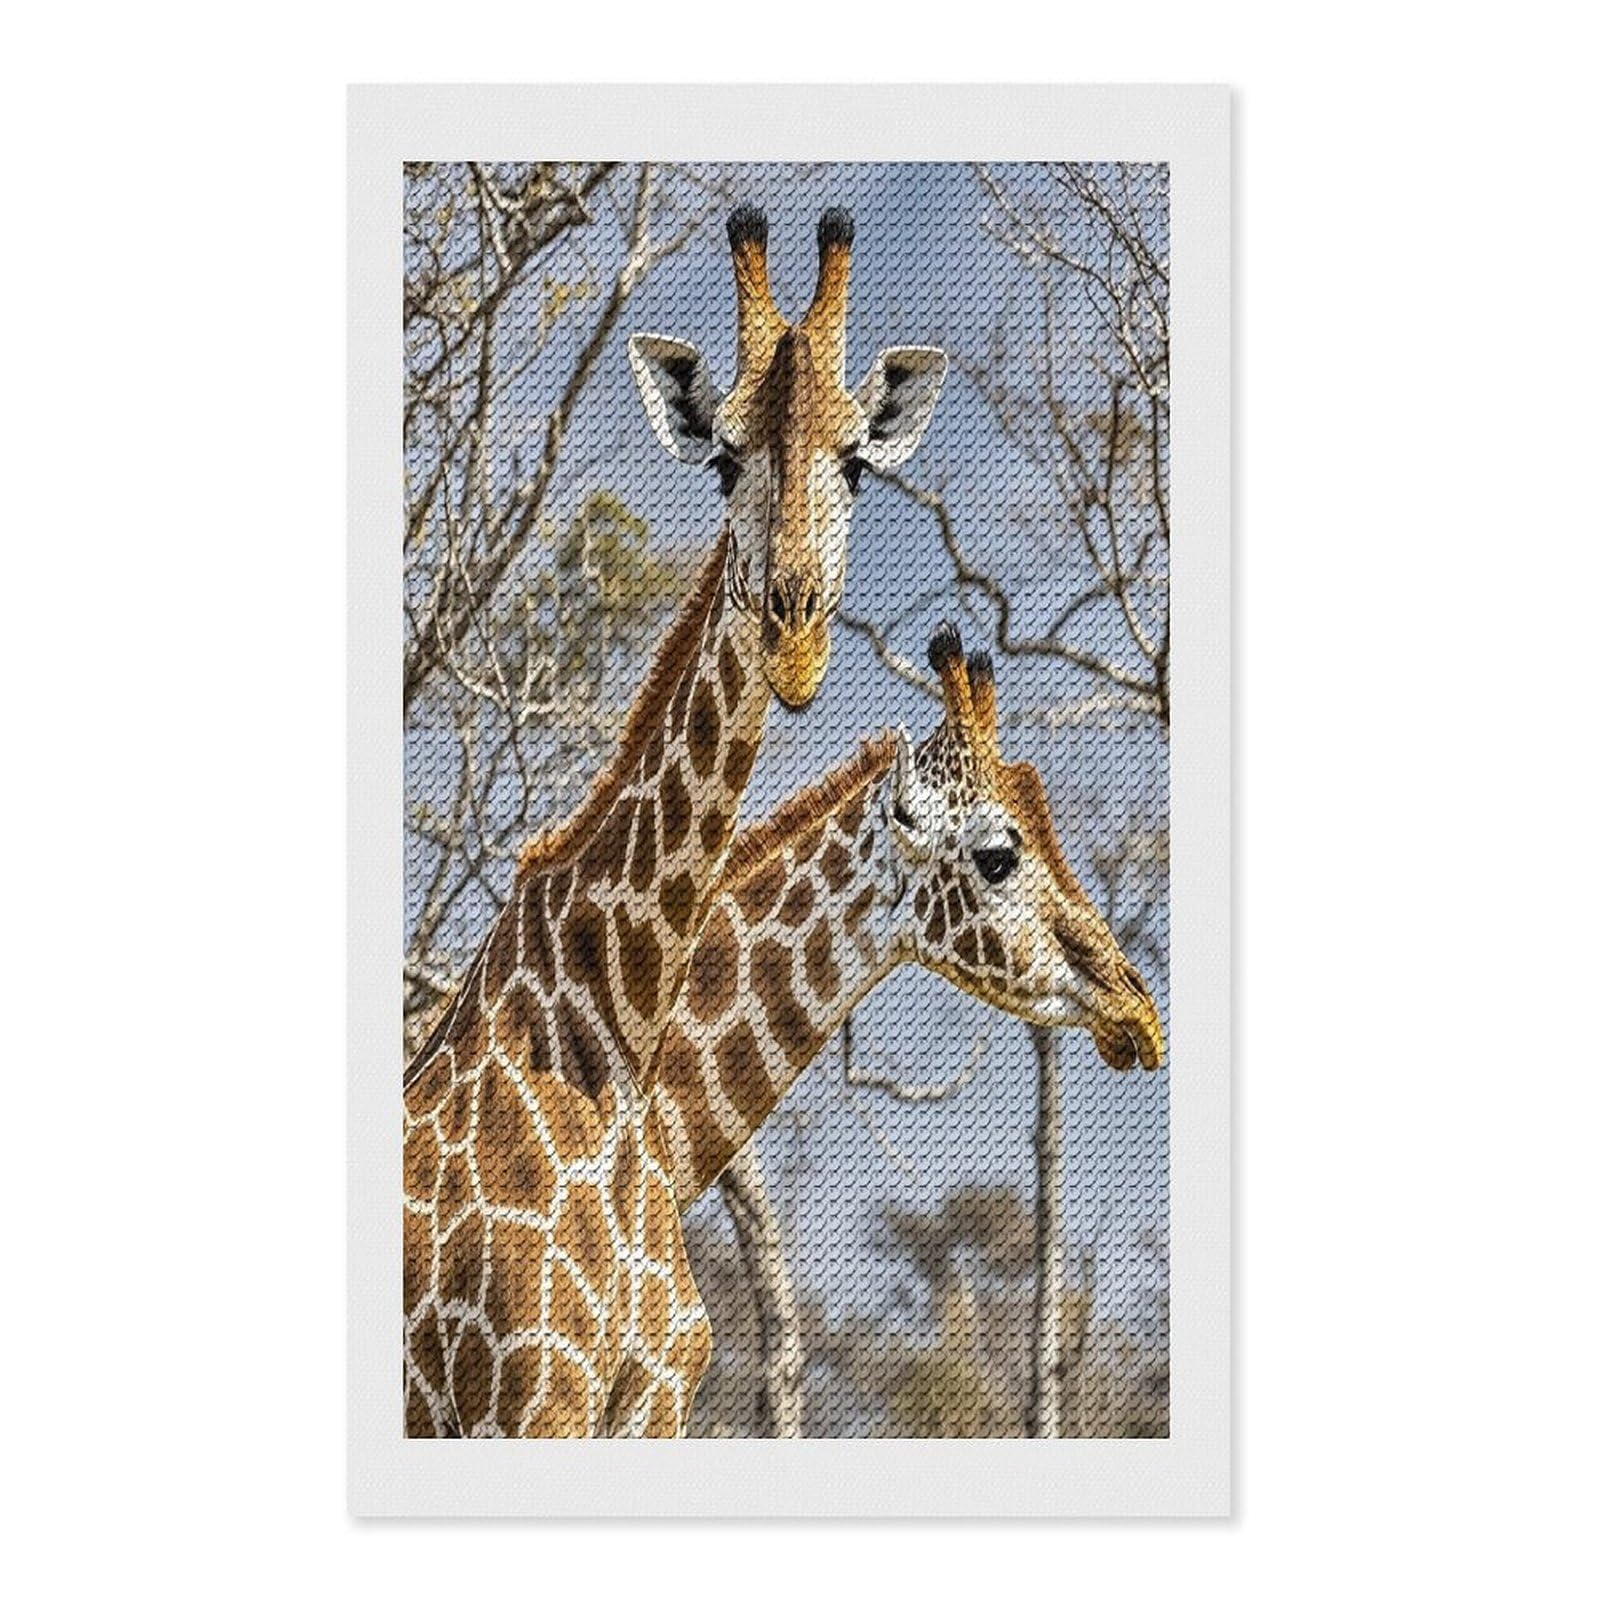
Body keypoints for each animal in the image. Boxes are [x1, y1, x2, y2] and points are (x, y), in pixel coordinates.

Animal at [402, 206, 948, 1438]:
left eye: (856, 464)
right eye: (724, 459)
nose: (794, 641)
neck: (618, 1011)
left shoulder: (649, 1399)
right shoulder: (522, 1398)